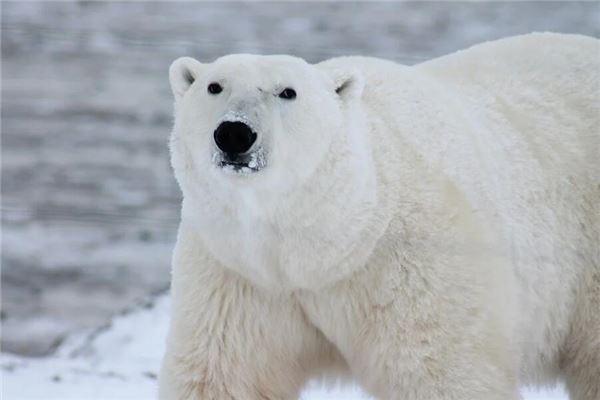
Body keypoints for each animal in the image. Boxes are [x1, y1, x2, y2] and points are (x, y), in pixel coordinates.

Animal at [157, 32, 596, 400]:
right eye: (214, 86)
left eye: (288, 92)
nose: (234, 133)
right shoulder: (239, 275)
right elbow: (225, 375)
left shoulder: (413, 265)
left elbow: (441, 372)